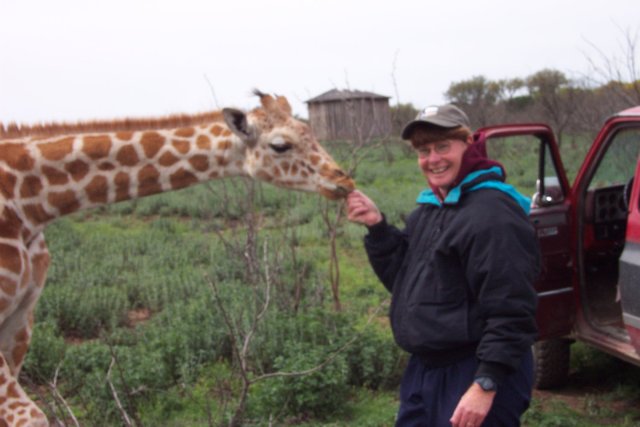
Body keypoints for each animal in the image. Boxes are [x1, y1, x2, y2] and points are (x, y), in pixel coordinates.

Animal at [0, 91, 355, 426]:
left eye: (310, 131)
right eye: (280, 145)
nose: (344, 181)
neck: (32, 203)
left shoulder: (21, 319)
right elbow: (31, 416)